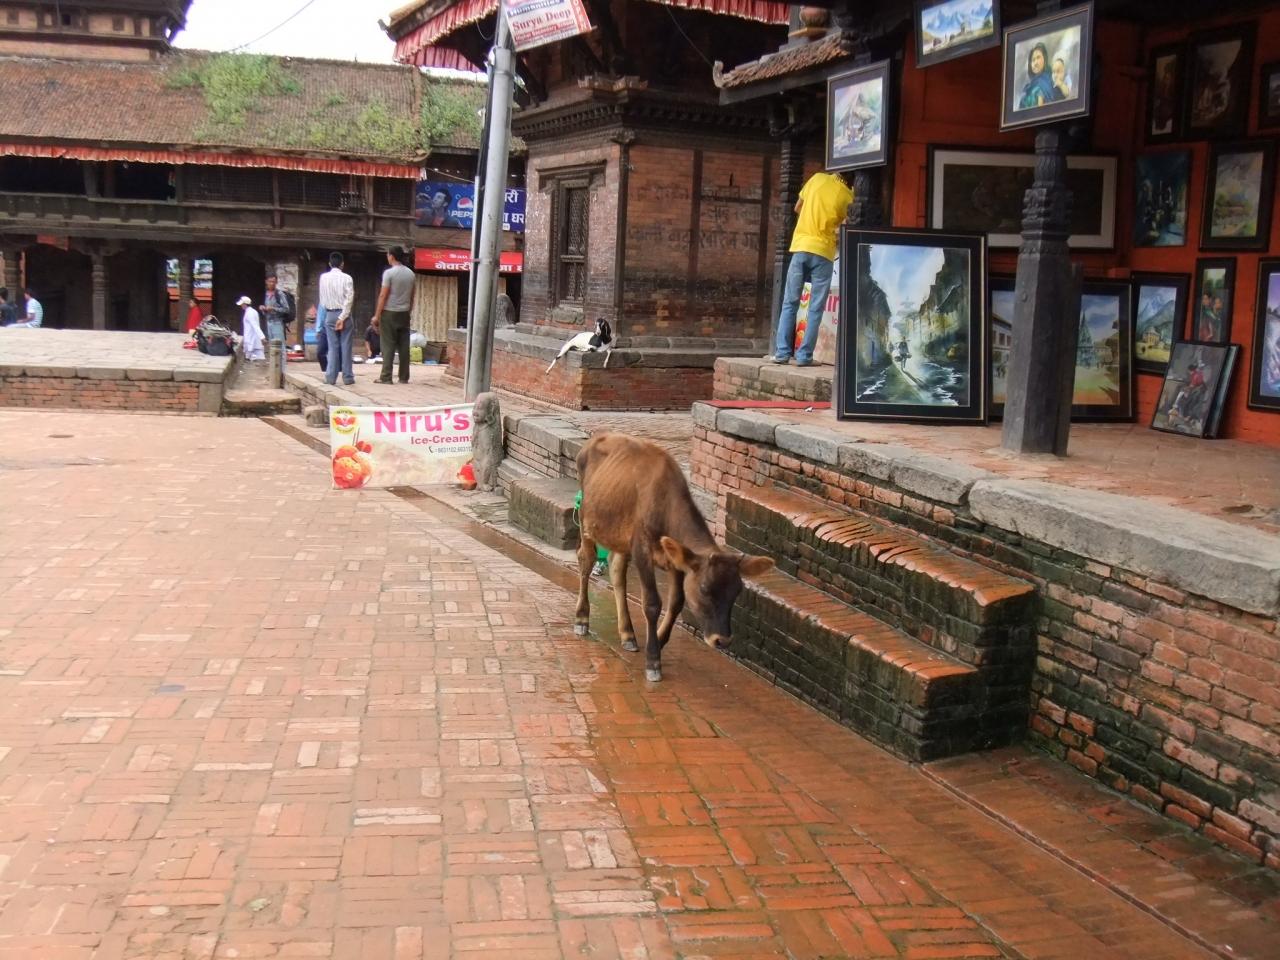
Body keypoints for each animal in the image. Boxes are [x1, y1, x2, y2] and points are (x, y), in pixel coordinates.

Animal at [573, 433, 774, 682]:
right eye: (705, 589)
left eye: (737, 591)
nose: (722, 639)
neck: (666, 504)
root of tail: (595, 438)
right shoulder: (642, 550)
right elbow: (652, 603)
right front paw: (653, 660)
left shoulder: (677, 561)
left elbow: (677, 602)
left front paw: (658, 642)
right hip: (586, 518)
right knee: (586, 559)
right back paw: (582, 618)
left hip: (619, 534)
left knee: (617, 569)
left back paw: (628, 634)